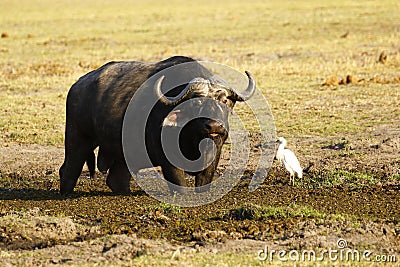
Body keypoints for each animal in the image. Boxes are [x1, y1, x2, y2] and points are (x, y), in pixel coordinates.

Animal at [59, 56, 255, 197]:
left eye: (224, 100)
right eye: (195, 102)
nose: (214, 125)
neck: (192, 138)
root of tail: (77, 86)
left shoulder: (215, 152)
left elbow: (204, 181)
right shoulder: (168, 160)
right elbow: (180, 185)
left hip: (123, 152)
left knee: (116, 179)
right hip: (77, 139)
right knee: (68, 169)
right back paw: (65, 194)